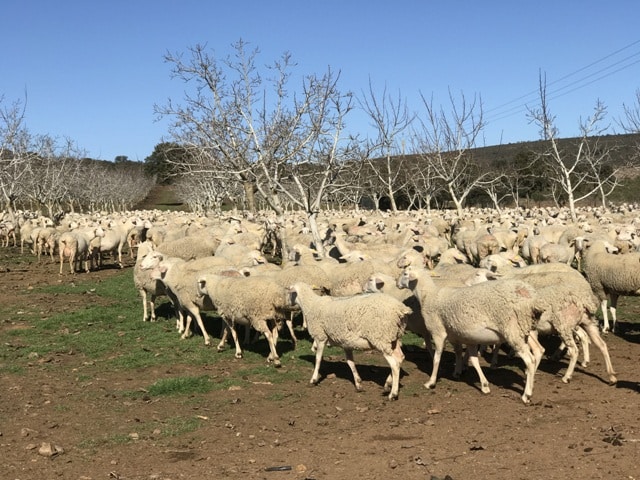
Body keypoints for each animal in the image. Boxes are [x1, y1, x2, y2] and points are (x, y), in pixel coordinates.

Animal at [398, 264, 544, 404]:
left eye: (405, 273)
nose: (397, 283)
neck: (429, 296)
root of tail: (530, 295)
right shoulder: (461, 336)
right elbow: (470, 358)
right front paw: (477, 382)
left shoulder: (438, 331)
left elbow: (437, 357)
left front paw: (431, 382)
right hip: (525, 328)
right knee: (538, 350)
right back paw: (529, 381)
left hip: (513, 330)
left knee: (530, 360)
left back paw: (526, 395)